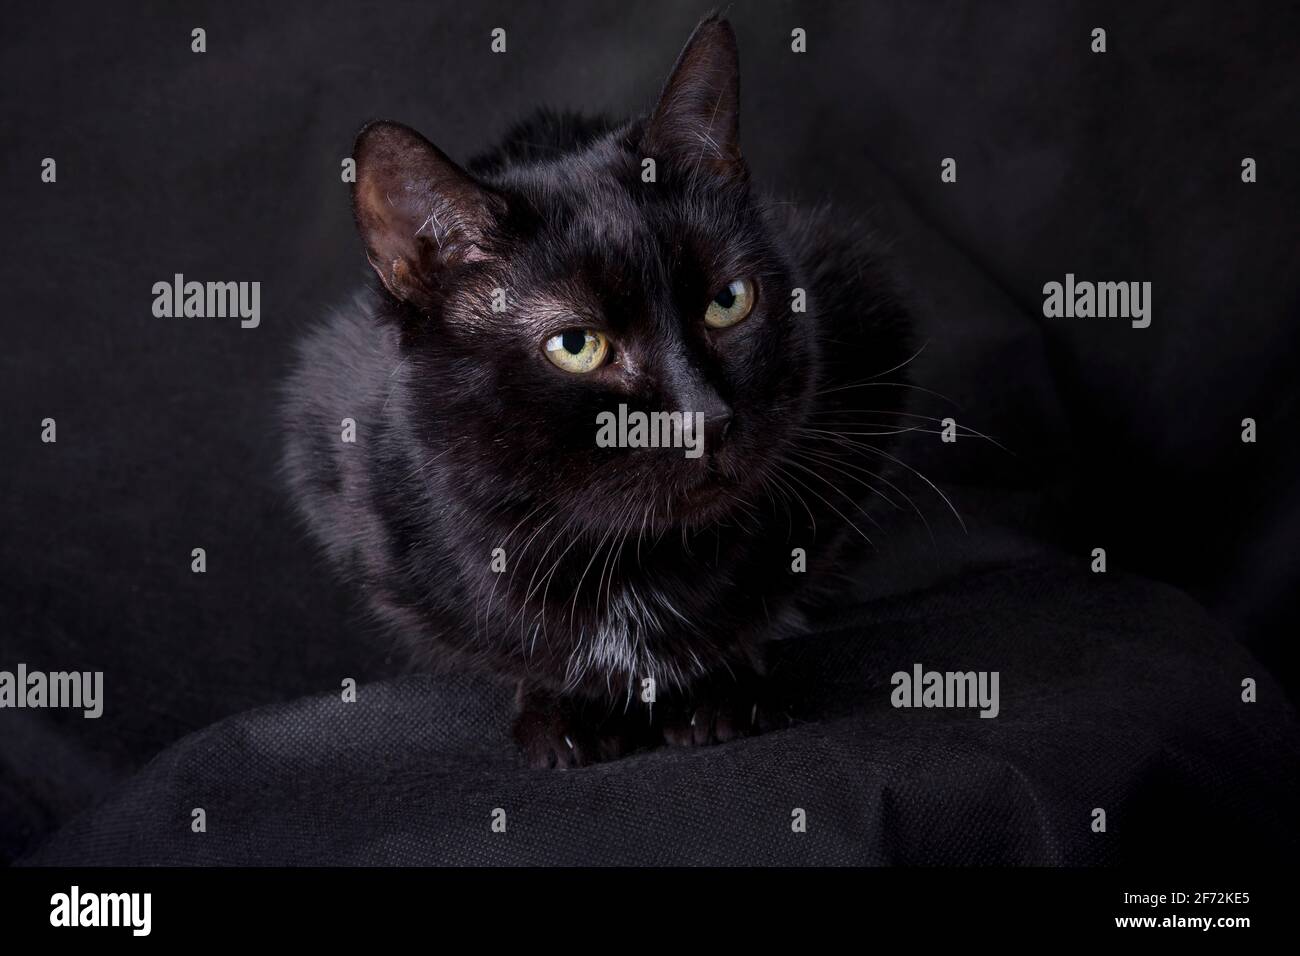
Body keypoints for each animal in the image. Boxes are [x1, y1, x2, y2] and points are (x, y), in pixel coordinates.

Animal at [284, 14, 915, 770]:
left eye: (728, 302)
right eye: (577, 346)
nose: (706, 420)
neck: (629, 563)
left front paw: (723, 686)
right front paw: (566, 708)